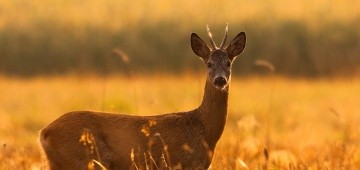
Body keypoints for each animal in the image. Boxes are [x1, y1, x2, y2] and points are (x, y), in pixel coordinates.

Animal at [40, 24, 248, 169]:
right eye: (209, 64)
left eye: (228, 63)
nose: (220, 80)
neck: (204, 130)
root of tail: (44, 132)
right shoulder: (182, 163)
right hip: (81, 160)